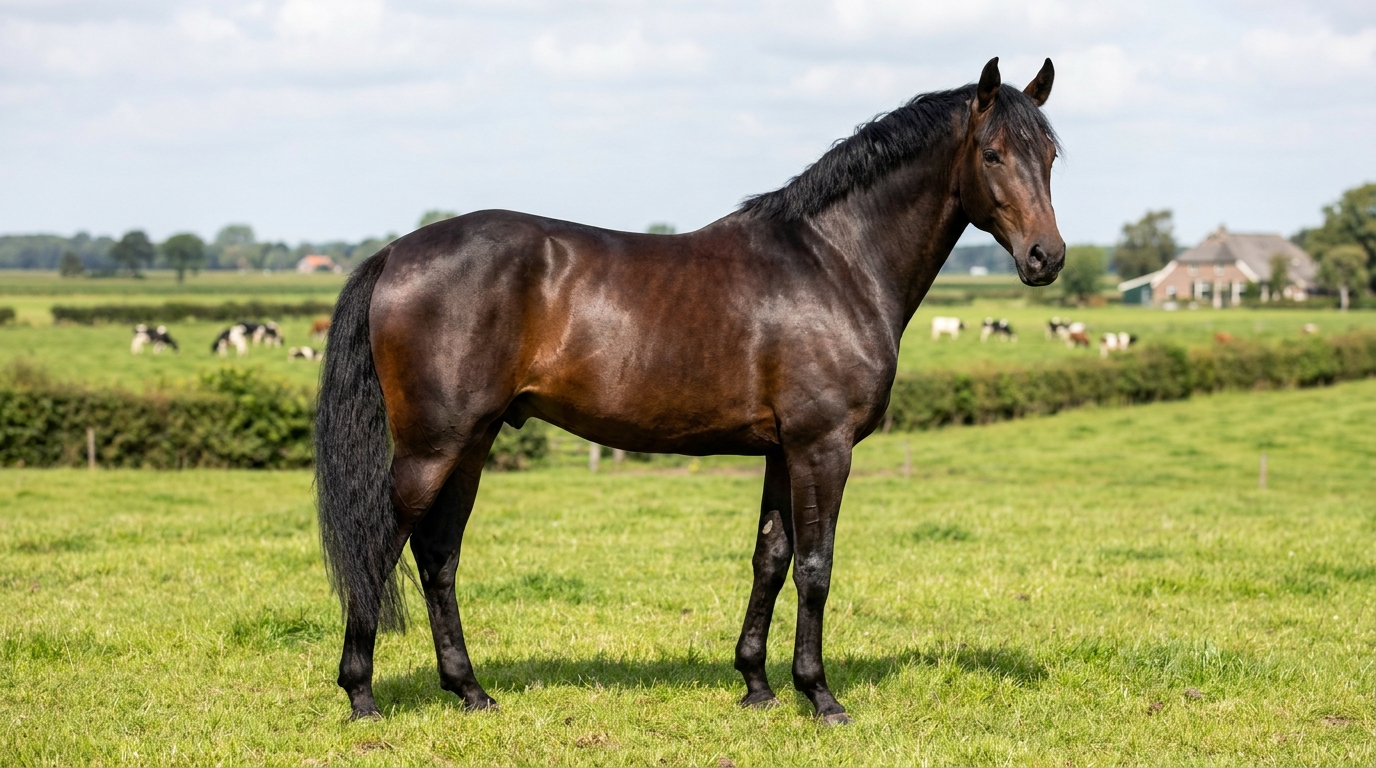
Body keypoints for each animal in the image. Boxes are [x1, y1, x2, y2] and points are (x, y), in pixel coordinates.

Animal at [315, 57, 1065, 725]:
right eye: (993, 153)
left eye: (1051, 155)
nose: (1047, 258)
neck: (835, 263)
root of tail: (395, 252)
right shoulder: (823, 447)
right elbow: (815, 567)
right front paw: (820, 696)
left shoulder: (783, 451)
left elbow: (771, 559)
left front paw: (757, 685)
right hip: (432, 448)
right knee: (380, 546)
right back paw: (361, 696)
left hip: (470, 443)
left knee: (438, 555)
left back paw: (469, 691)